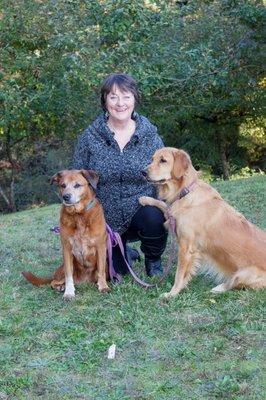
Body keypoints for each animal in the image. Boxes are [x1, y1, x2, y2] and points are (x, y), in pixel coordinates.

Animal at [22, 170, 109, 300]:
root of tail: (84, 281)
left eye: (77, 185)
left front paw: (103, 286)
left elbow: (101, 270)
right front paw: (69, 292)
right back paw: (60, 286)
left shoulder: (100, 247)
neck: (78, 215)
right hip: (62, 270)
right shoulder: (67, 249)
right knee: (53, 281)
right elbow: (69, 275)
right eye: (62, 185)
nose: (65, 197)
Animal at [139, 147, 266, 296]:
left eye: (163, 160)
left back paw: (218, 288)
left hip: (244, 274)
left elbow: (179, 274)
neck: (186, 191)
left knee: (234, 284)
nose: (142, 172)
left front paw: (172, 293)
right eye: (152, 159)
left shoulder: (186, 246)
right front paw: (145, 199)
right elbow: (164, 204)